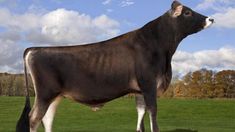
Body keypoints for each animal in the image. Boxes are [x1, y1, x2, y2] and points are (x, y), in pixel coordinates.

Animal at [16, 1, 213, 132]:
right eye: (187, 12)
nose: (211, 18)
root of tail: (34, 49)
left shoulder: (139, 91)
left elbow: (141, 116)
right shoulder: (149, 85)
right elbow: (153, 115)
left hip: (55, 96)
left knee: (47, 119)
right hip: (45, 93)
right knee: (34, 119)